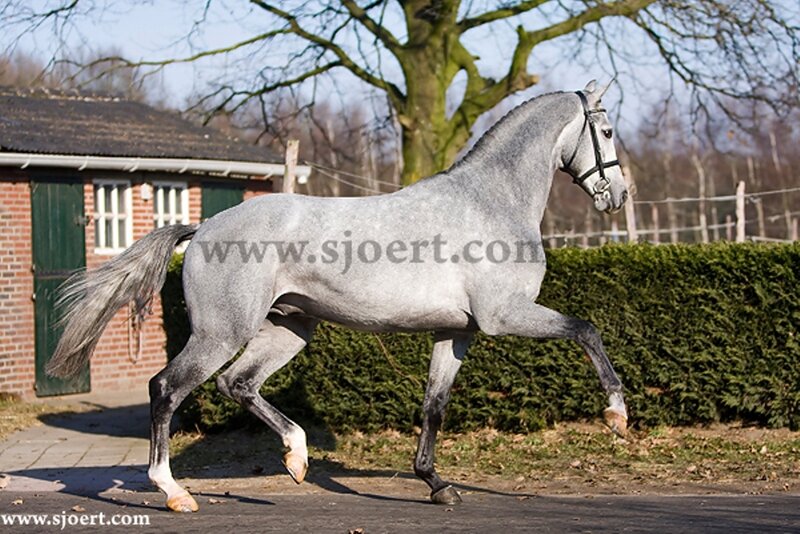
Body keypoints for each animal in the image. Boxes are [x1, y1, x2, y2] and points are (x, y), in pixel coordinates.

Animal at [47, 80, 630, 513]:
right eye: (606, 130)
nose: (619, 196)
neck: (490, 202)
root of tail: (204, 228)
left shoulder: (456, 332)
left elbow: (434, 406)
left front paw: (437, 485)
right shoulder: (505, 315)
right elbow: (587, 329)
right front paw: (617, 414)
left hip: (287, 331)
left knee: (238, 384)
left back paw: (296, 458)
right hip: (221, 333)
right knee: (167, 388)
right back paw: (175, 492)